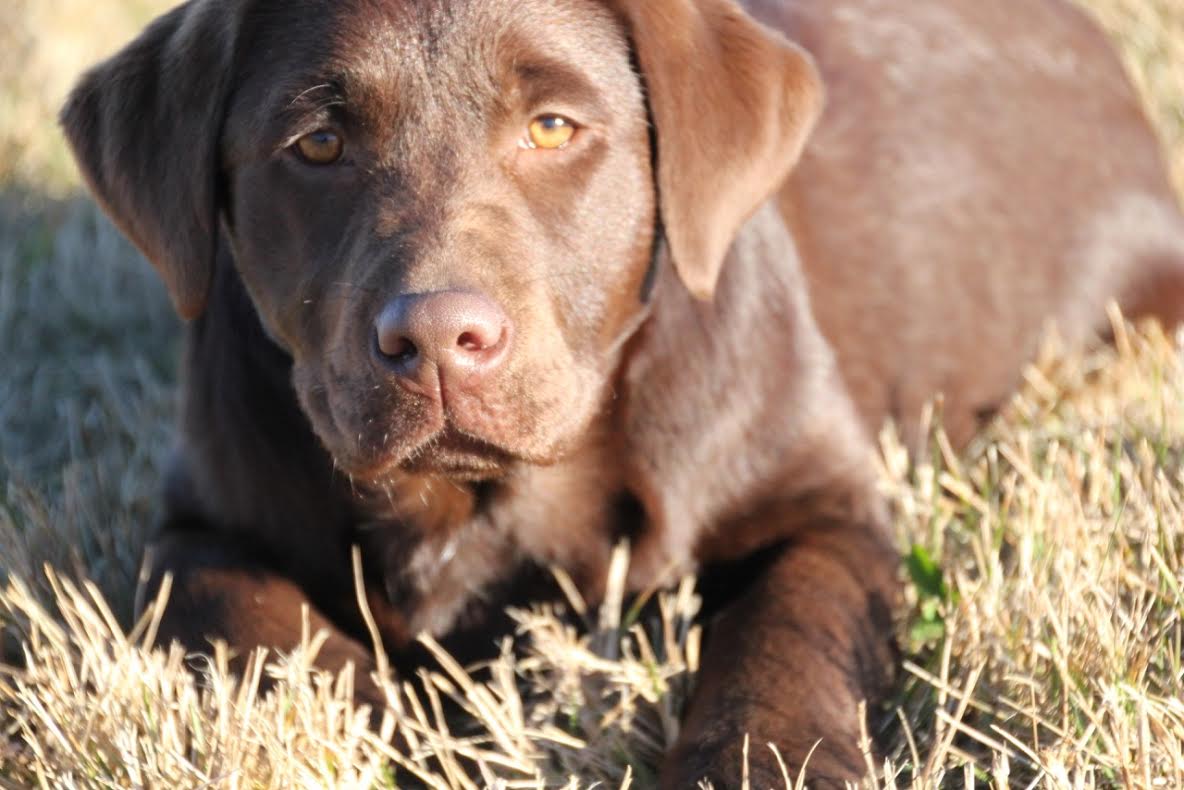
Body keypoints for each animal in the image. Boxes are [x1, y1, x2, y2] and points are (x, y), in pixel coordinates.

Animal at [62, 0, 1184, 786]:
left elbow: (784, 635)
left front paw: (763, 764)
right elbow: (261, 627)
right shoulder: (196, 529)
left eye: (554, 128)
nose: (437, 340)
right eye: (319, 145)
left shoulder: (824, 506)